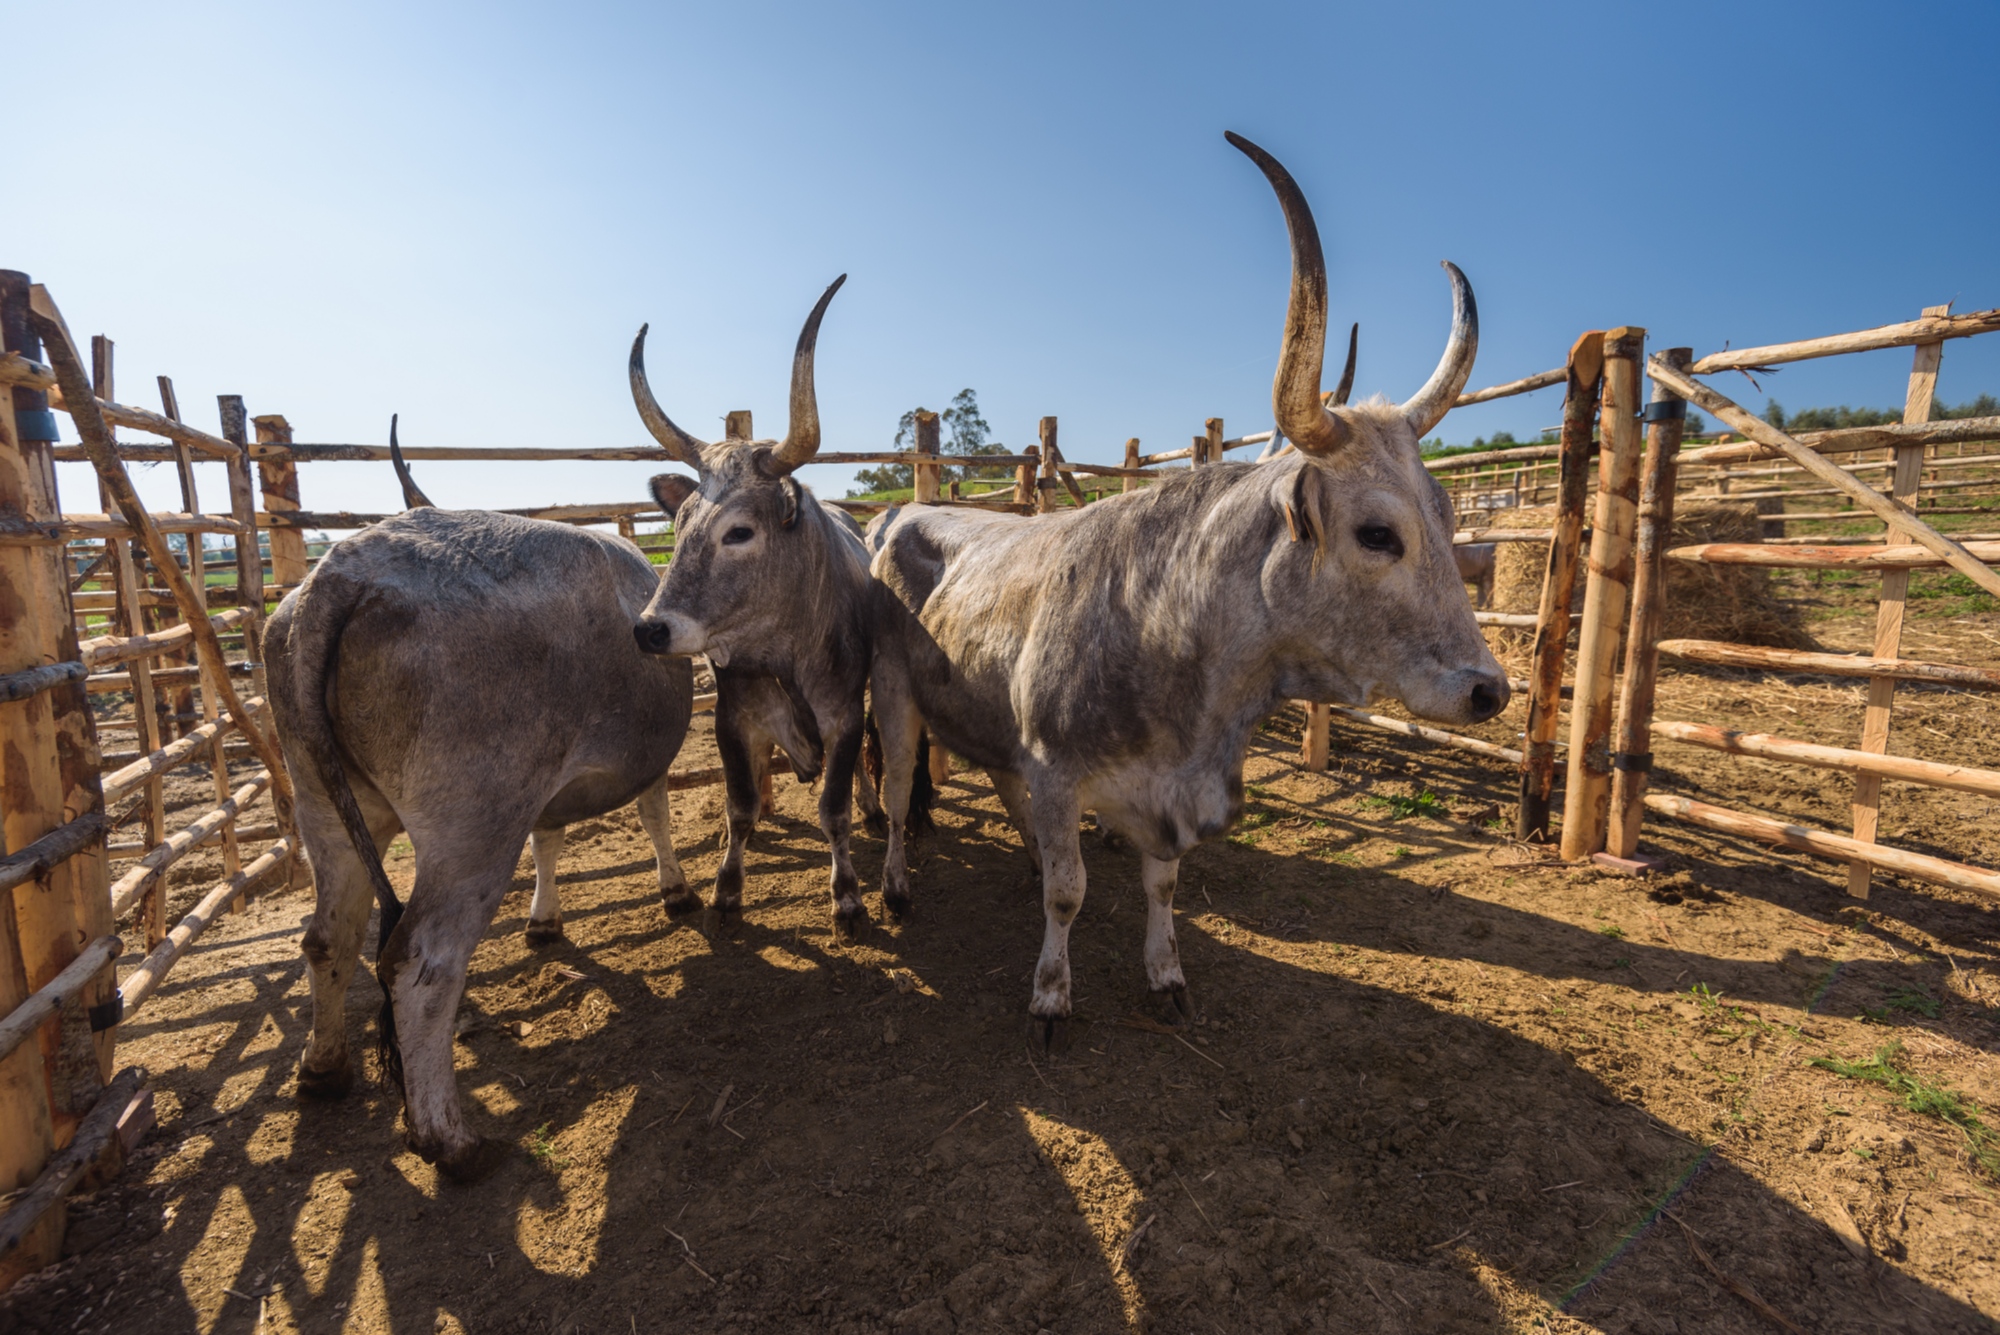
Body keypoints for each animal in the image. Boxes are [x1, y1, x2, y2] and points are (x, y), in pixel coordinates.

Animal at [268, 489, 696, 1175]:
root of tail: (342, 572)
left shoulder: (547, 797)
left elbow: (549, 843)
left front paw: (544, 921)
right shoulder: (643, 764)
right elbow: (654, 816)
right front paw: (676, 890)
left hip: (323, 809)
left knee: (328, 939)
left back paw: (324, 1068)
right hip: (474, 830)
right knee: (421, 963)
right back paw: (449, 1139)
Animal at [868, 129, 1504, 1039]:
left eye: (1449, 517)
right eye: (1378, 533)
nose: (1490, 690)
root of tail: (902, 510)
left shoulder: (1156, 796)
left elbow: (1159, 883)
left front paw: (1165, 972)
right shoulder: (1057, 774)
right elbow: (1069, 892)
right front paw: (1051, 991)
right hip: (891, 698)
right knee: (891, 794)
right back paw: (893, 888)